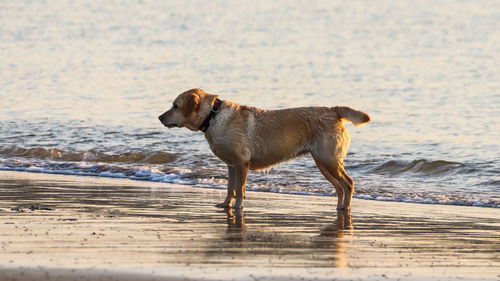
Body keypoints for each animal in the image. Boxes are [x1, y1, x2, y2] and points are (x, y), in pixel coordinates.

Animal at [158, 88, 370, 209]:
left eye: (175, 106)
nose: (159, 117)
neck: (213, 116)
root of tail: (334, 110)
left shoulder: (241, 163)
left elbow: (239, 189)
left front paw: (237, 207)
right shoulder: (231, 165)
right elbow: (229, 187)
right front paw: (226, 205)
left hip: (329, 160)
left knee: (348, 183)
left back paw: (346, 208)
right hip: (323, 163)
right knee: (340, 187)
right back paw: (340, 209)